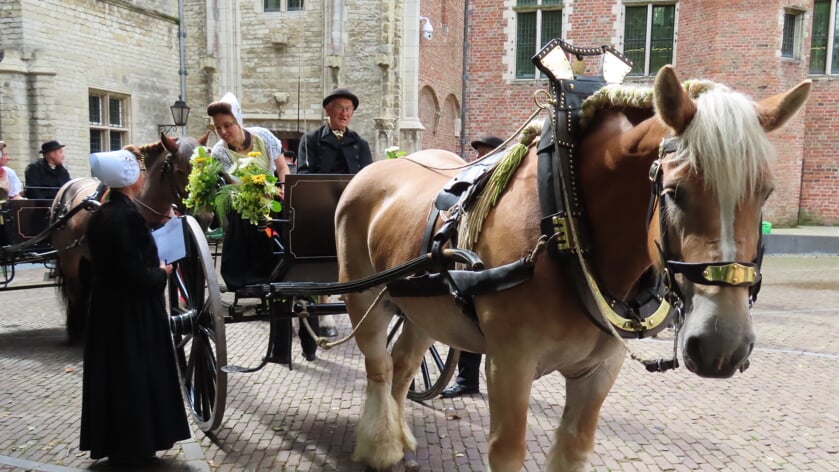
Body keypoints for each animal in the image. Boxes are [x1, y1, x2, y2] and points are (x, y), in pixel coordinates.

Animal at [50, 133, 207, 342]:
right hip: (71, 260)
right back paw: (78, 333)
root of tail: (65, 191)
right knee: (76, 292)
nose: (205, 217)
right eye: (180, 171)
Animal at [336, 66, 812, 472]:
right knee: (379, 366)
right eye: (675, 192)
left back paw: (400, 440)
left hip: (421, 308)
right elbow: (507, 451)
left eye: (766, 192)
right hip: (365, 297)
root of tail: (383, 163)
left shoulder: (599, 370)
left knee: (402, 367)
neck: (565, 218)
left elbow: (573, 448)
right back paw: (380, 446)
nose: (722, 345)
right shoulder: (509, 363)